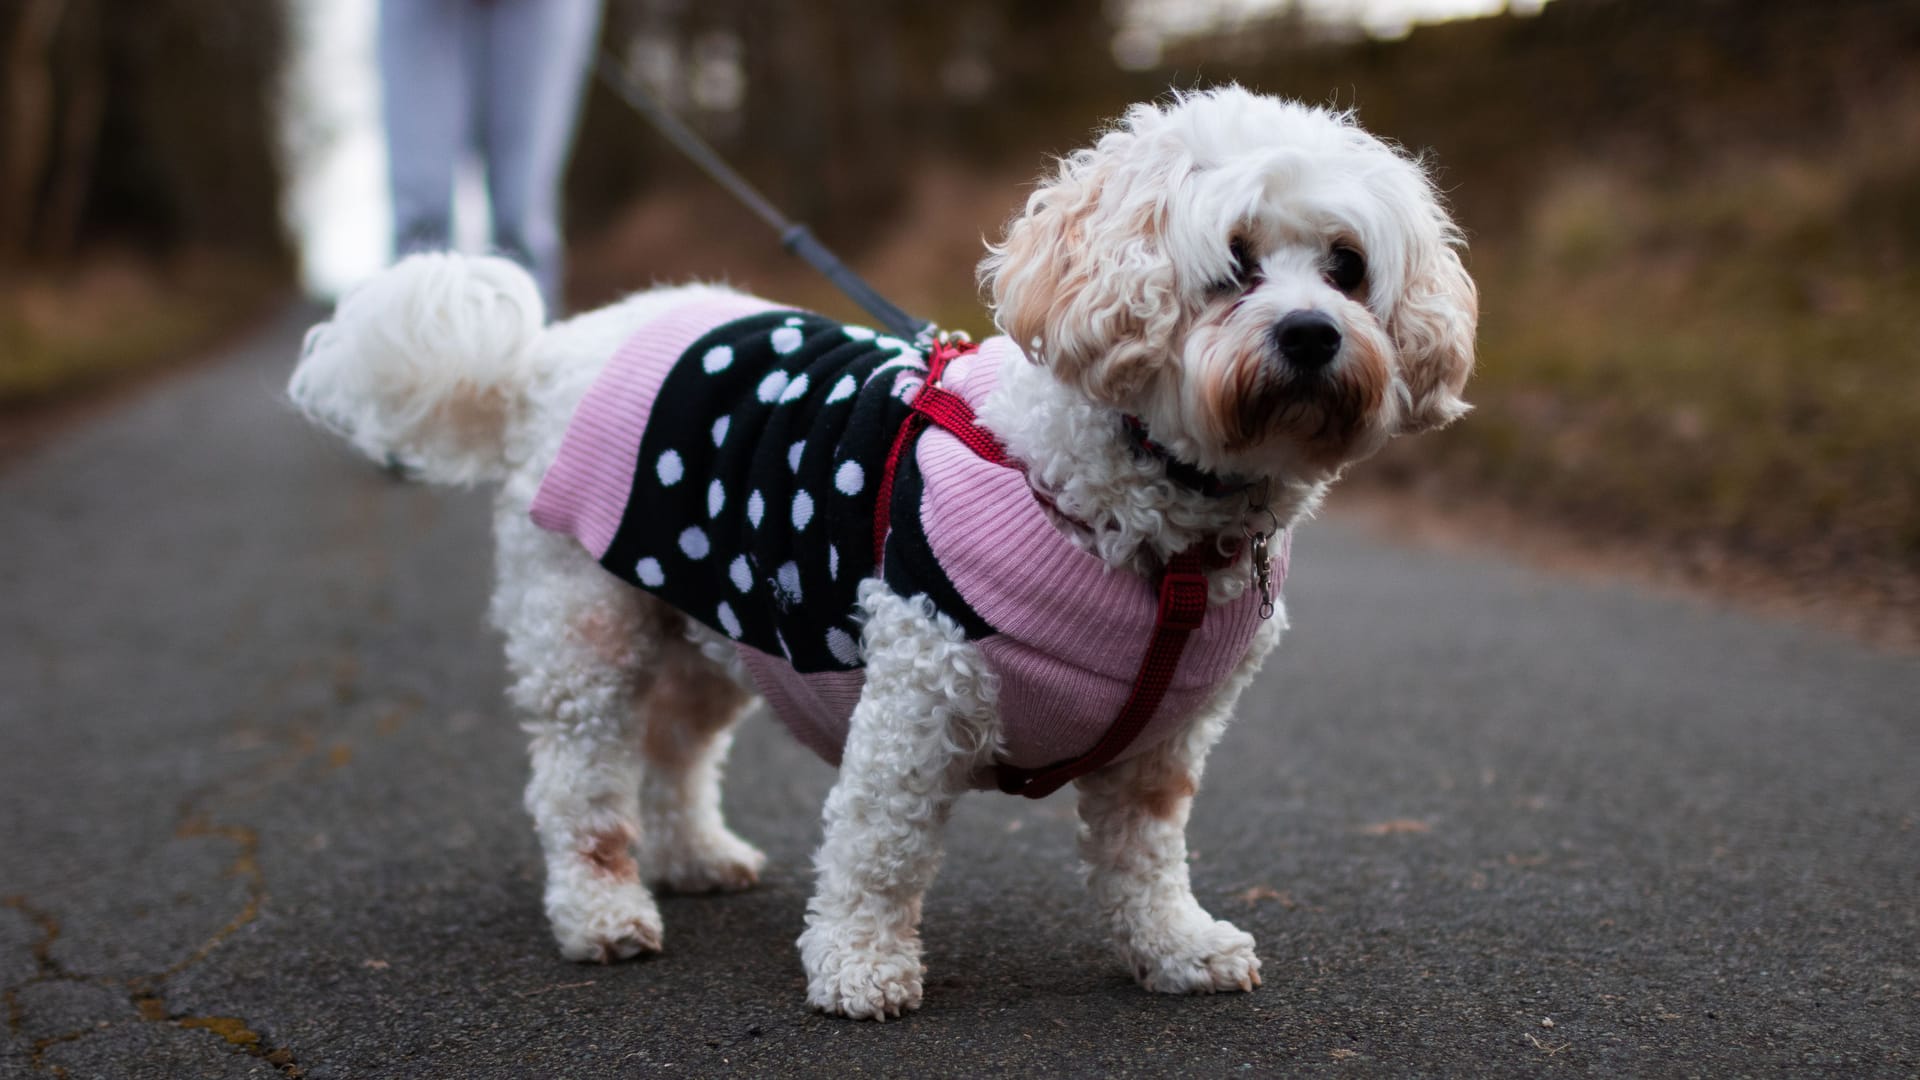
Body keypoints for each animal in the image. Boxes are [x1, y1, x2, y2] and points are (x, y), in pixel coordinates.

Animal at [291, 85, 1474, 1014]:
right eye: (1233, 263)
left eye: (1347, 267)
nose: (1312, 335)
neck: (1150, 521)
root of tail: (545, 355)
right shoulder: (921, 696)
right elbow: (881, 843)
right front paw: (860, 967)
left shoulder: (1163, 745)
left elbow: (1146, 859)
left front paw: (1175, 948)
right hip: (585, 630)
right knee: (578, 785)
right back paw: (603, 910)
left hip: (720, 622)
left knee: (677, 747)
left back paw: (695, 857)